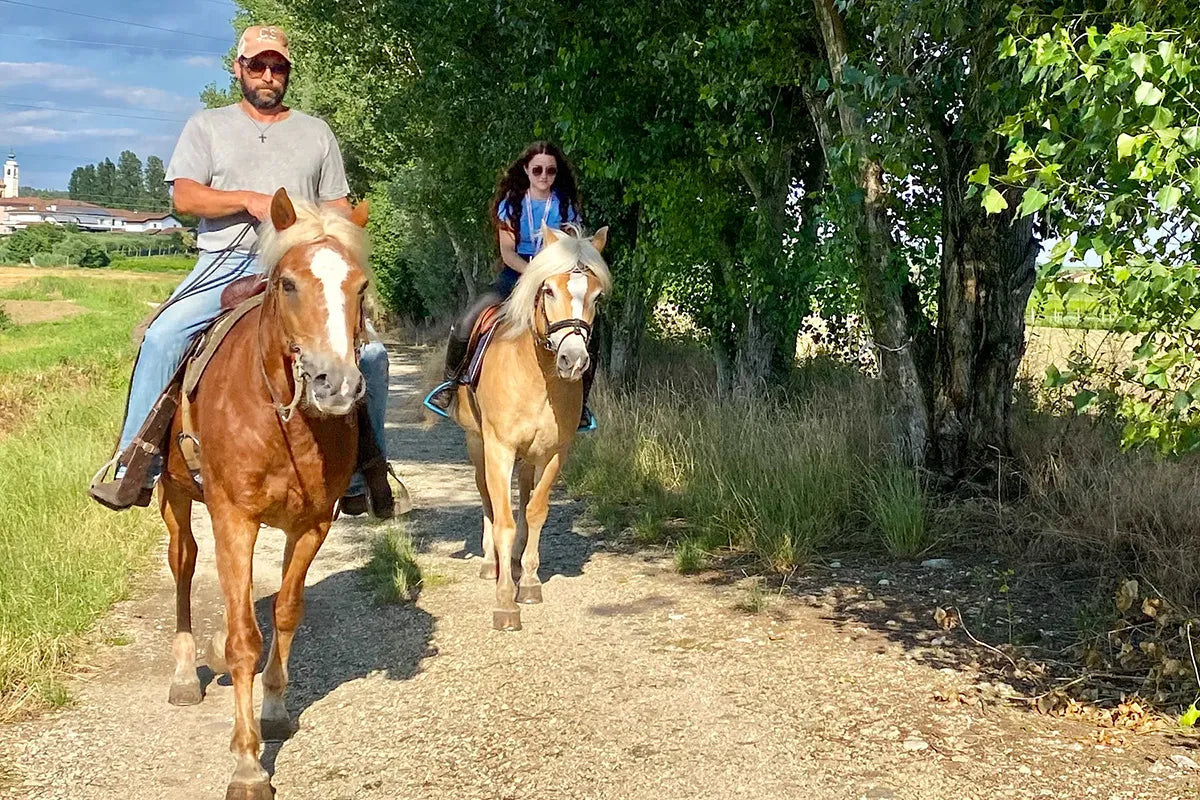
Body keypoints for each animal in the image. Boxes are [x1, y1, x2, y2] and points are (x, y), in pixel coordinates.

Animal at [157, 189, 369, 800]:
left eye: (360, 286)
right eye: (289, 284)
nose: (336, 384)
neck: (284, 421)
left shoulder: (314, 523)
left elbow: (286, 612)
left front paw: (274, 709)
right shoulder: (235, 519)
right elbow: (243, 640)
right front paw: (248, 765)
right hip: (175, 497)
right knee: (184, 565)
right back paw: (185, 674)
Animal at [448, 224, 609, 633]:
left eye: (596, 295)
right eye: (548, 289)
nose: (573, 360)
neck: (538, 377)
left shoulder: (555, 453)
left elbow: (535, 511)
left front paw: (531, 582)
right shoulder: (498, 448)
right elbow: (503, 519)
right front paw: (506, 601)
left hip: (527, 456)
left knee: (522, 495)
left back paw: (517, 561)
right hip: (477, 444)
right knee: (487, 498)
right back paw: (492, 562)